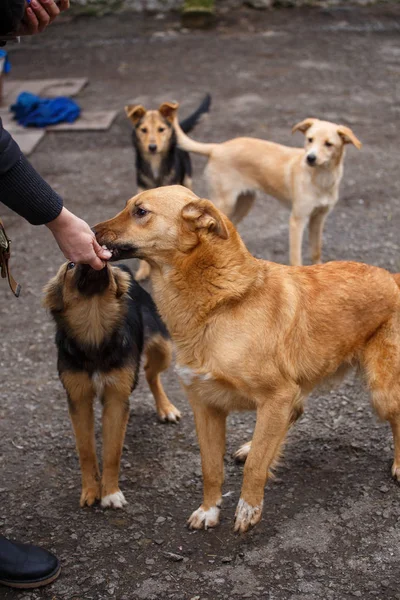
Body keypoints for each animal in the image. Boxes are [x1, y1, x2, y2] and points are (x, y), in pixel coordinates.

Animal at [43, 262, 179, 506]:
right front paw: (90, 491)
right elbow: (86, 451)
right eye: (70, 265)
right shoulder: (78, 399)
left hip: (164, 349)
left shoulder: (116, 398)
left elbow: (112, 452)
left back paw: (166, 408)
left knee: (150, 372)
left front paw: (110, 493)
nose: (100, 258)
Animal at [95, 188, 400, 536]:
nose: (90, 231)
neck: (220, 304)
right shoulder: (207, 406)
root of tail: (392, 277)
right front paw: (209, 510)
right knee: (295, 413)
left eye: (140, 211)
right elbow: (210, 467)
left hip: (382, 392)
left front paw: (248, 508)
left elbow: (255, 469)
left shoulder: (277, 395)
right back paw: (253, 446)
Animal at [170, 110, 360, 264]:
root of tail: (217, 148)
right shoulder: (297, 220)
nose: (310, 158)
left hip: (245, 202)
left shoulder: (319, 218)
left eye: (329, 144)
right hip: (224, 202)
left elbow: (316, 250)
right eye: (309, 140)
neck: (321, 178)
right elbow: (296, 257)